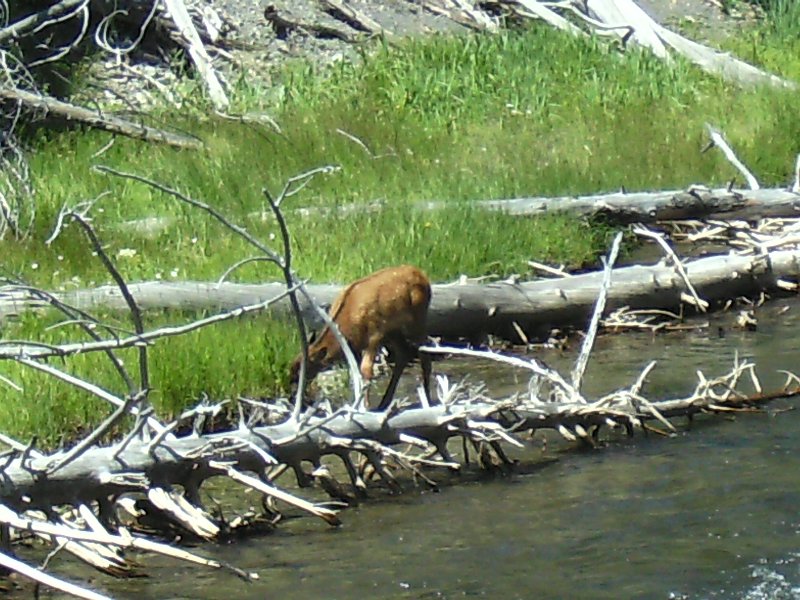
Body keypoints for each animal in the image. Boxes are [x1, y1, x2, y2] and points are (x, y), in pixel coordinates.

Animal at [292, 264, 434, 410]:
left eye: (305, 371)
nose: (295, 397)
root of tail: (423, 276)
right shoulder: (357, 346)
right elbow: (355, 373)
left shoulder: (375, 335)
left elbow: (366, 371)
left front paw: (364, 406)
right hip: (394, 332)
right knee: (403, 355)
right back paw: (384, 403)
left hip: (417, 318)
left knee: (425, 351)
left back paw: (427, 398)